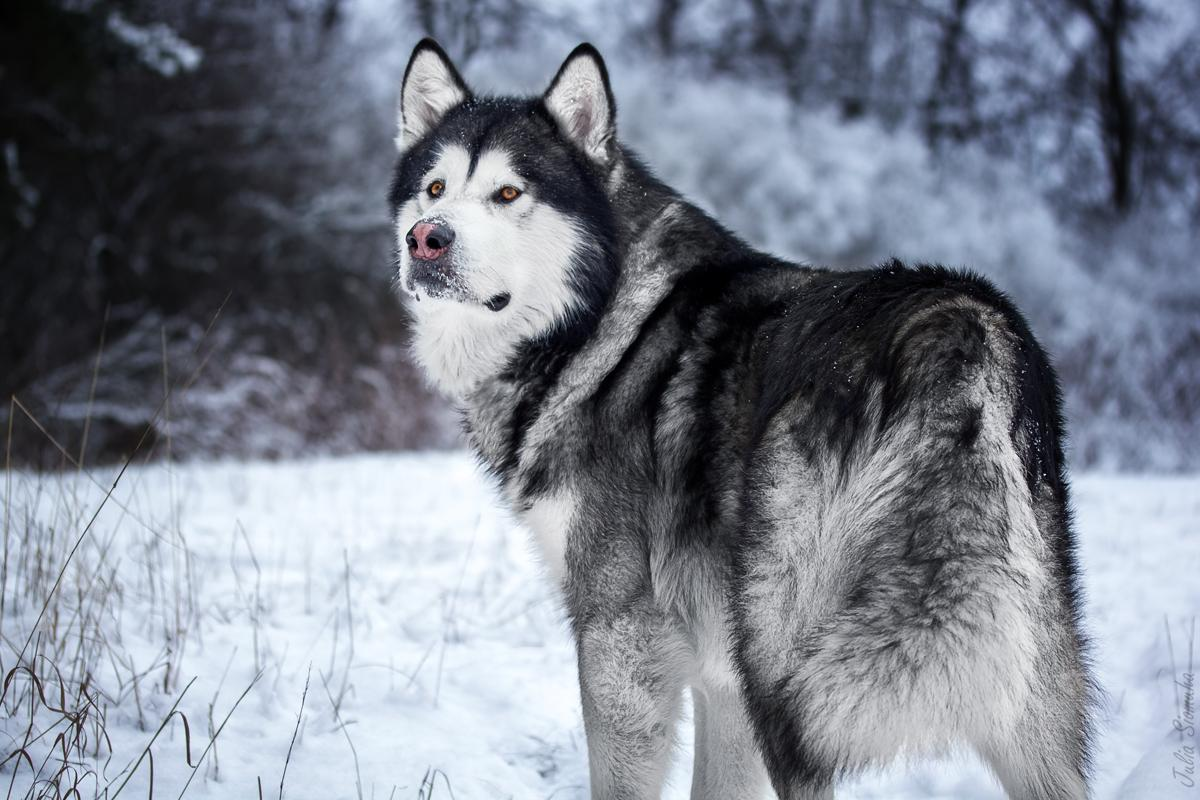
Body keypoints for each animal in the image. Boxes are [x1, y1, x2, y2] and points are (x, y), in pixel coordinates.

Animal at [388, 38, 1094, 800]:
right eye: (434, 189)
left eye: (509, 193)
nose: (427, 239)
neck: (600, 323)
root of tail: (961, 323)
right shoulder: (721, 681)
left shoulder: (620, 638)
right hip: (1014, 697)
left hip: (790, 679)